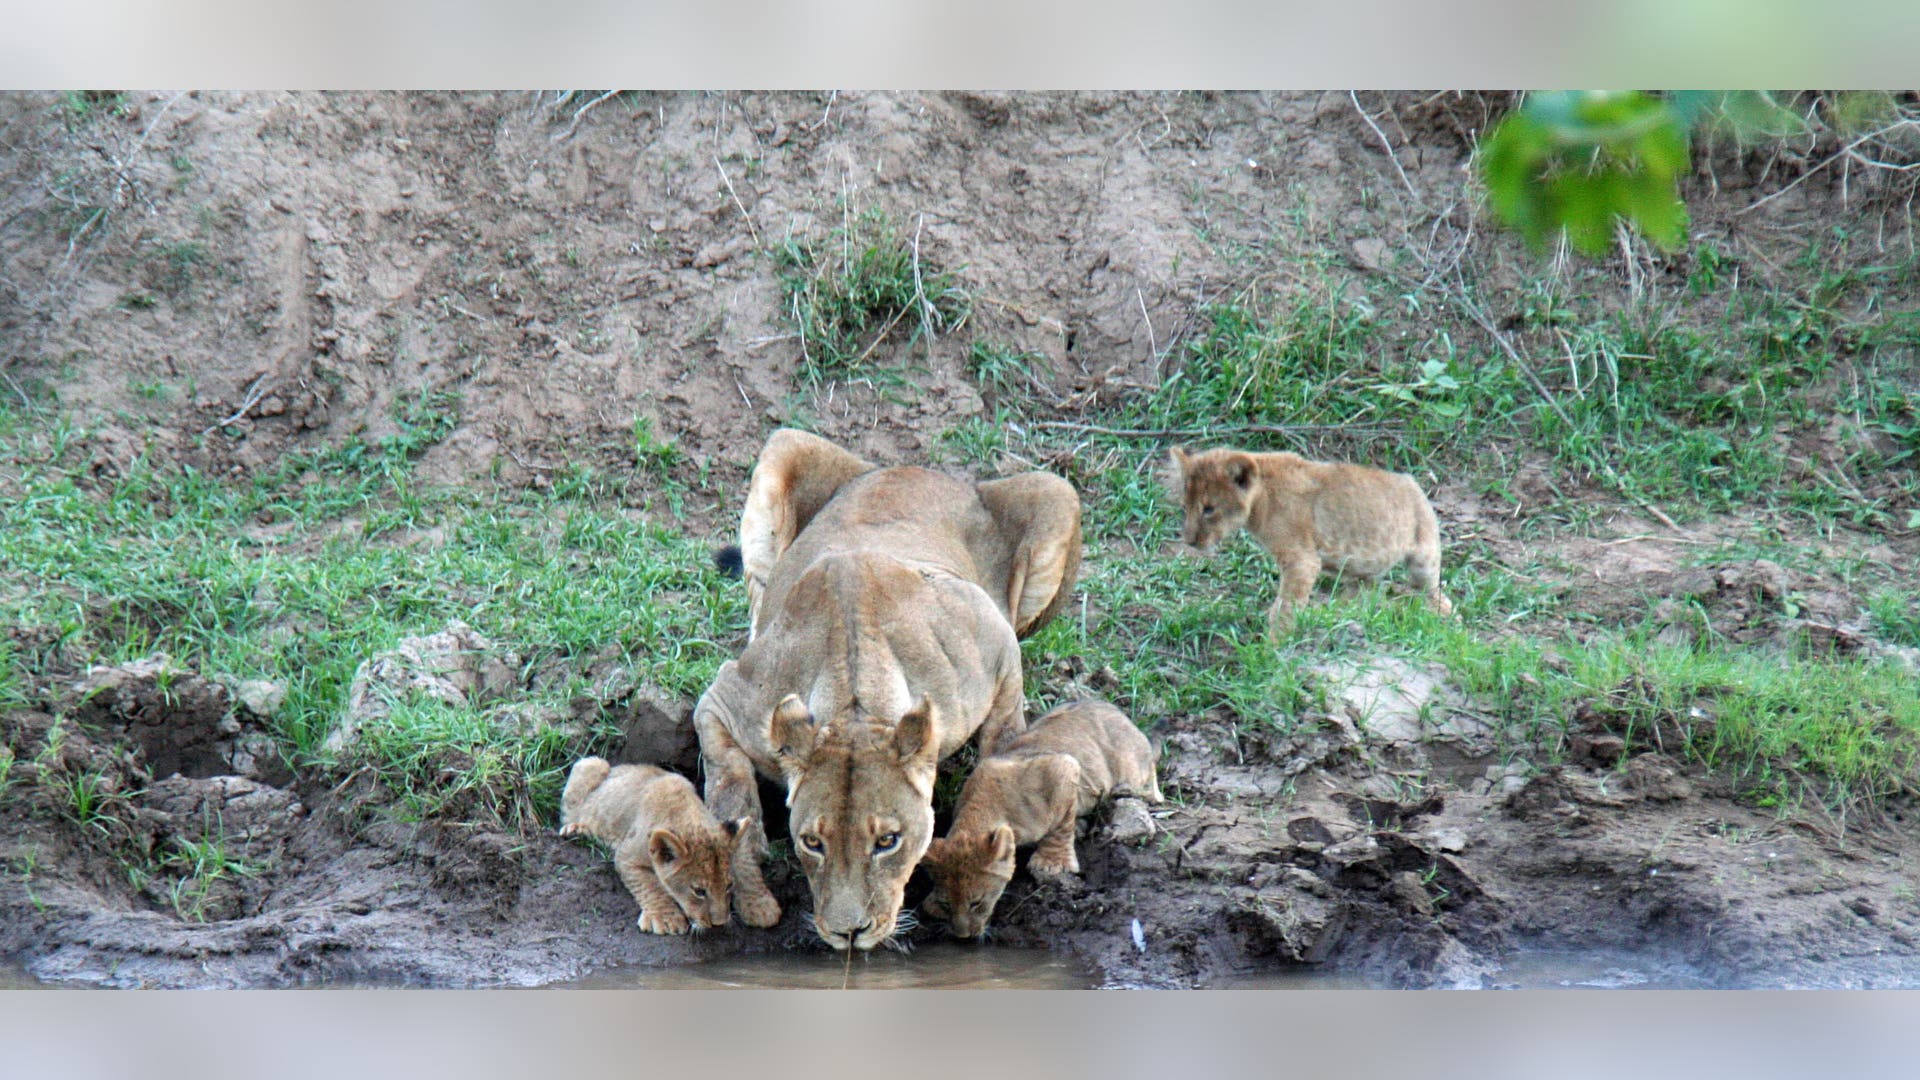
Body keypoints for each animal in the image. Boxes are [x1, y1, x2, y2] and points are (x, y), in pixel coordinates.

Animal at [558, 756, 750, 935]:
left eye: (728, 886)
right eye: (699, 891)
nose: (719, 924)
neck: (688, 815)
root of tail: (617, 767)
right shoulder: (627, 856)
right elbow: (650, 886)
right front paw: (666, 919)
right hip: (590, 763)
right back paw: (577, 830)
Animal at [694, 429, 1082, 950]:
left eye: (886, 842)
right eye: (812, 843)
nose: (849, 933)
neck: (856, 700)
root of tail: (911, 467)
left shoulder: (997, 647)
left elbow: (1003, 740)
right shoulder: (727, 697)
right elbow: (728, 774)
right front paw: (746, 845)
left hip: (1058, 494)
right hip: (784, 446)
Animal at [919, 699, 1163, 939]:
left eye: (976, 903)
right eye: (947, 904)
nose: (962, 936)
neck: (982, 810)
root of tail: (1128, 721)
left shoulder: (1063, 768)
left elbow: (1060, 827)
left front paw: (1051, 863)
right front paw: (931, 904)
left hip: (1129, 763)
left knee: (1150, 777)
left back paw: (1133, 791)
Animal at [1168, 446, 1452, 635]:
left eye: (1209, 509)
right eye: (1184, 507)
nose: (1190, 541)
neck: (1261, 499)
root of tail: (1414, 483)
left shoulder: (1302, 560)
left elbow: (1287, 606)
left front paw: (1273, 646)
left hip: (1423, 558)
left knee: (1440, 596)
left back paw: (1446, 622)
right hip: (1363, 570)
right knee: (1361, 594)